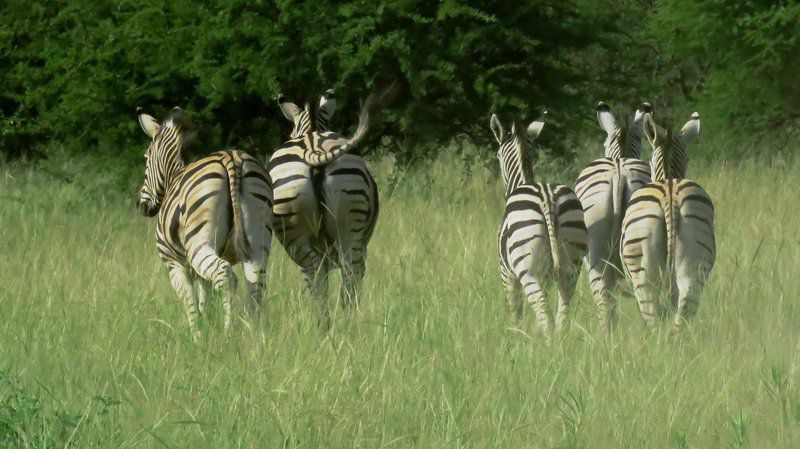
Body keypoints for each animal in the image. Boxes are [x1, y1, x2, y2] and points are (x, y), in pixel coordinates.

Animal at [135, 107, 272, 338]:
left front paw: (197, 337)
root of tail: (232, 159)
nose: (142, 205)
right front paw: (207, 328)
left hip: (199, 243)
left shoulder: (175, 263)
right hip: (258, 241)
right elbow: (204, 300)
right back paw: (254, 334)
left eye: (146, 157)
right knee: (255, 285)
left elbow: (190, 301)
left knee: (225, 276)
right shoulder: (197, 272)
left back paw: (228, 333)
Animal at [268, 88, 382, 322]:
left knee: (320, 274)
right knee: (346, 274)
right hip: (348, 228)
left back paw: (327, 322)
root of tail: (313, 150)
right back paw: (341, 322)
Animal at [490, 109, 584, 340]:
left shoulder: (507, 274)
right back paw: (560, 341)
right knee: (563, 309)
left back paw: (547, 343)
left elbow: (515, 310)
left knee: (541, 307)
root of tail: (547, 198)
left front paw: (516, 336)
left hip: (527, 269)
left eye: (497, 155)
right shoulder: (547, 276)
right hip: (572, 264)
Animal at [620, 111, 720, 328]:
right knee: (682, 312)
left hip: (643, 272)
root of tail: (670, 196)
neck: (667, 175)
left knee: (653, 317)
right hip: (694, 262)